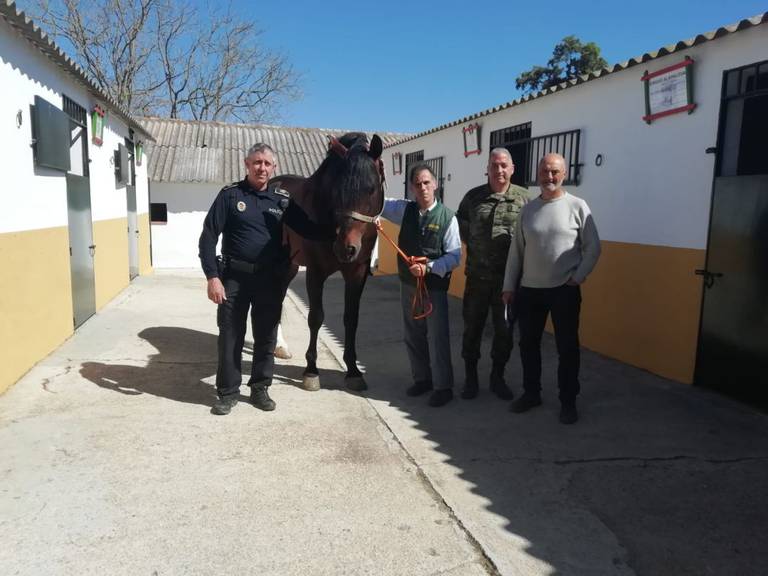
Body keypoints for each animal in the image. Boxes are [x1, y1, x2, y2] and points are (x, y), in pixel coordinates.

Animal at [274, 132, 384, 390]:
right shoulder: (315, 271)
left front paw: (353, 371)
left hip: (290, 266)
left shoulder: (357, 273)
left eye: (372, 188)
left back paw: (280, 347)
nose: (346, 248)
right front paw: (311, 371)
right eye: (338, 189)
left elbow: (351, 319)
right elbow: (316, 317)